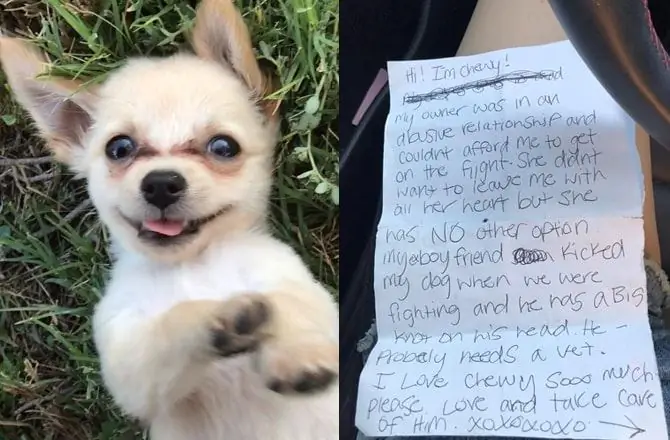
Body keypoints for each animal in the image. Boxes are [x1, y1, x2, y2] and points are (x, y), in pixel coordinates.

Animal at [0, 0, 342, 440]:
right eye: (119, 148)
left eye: (223, 147)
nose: (161, 183)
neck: (193, 266)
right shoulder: (126, 355)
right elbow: (170, 325)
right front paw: (215, 316)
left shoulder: (300, 287)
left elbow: (291, 304)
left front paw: (300, 352)